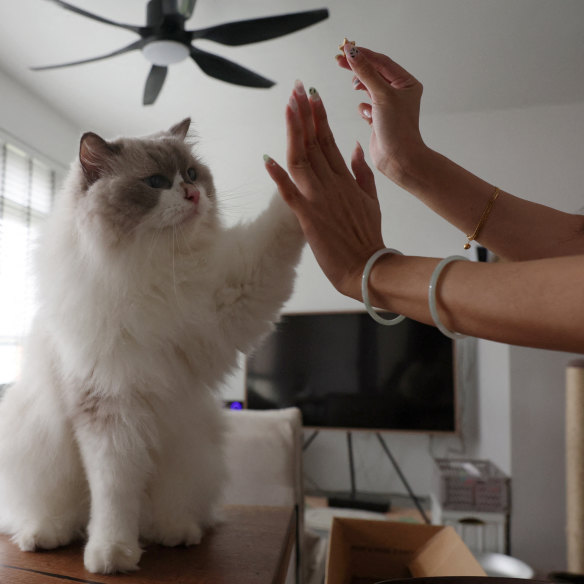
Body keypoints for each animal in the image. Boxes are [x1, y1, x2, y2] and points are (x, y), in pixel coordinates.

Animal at [0, 116, 306, 572]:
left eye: (192, 175)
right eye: (157, 182)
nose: (193, 194)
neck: (152, 270)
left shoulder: (233, 299)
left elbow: (278, 230)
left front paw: (304, 181)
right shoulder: (109, 410)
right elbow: (113, 495)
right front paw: (112, 554)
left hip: (191, 452)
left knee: (166, 512)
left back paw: (176, 533)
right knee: (53, 513)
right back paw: (44, 535)